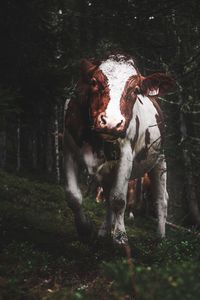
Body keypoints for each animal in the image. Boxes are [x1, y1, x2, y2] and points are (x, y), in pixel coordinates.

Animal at [63, 55, 173, 245]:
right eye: (94, 81)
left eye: (136, 90)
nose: (112, 122)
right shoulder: (69, 149)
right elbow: (74, 196)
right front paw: (85, 229)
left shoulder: (125, 156)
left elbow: (119, 199)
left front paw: (120, 237)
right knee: (107, 197)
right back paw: (104, 231)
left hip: (160, 160)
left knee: (161, 199)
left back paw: (160, 237)